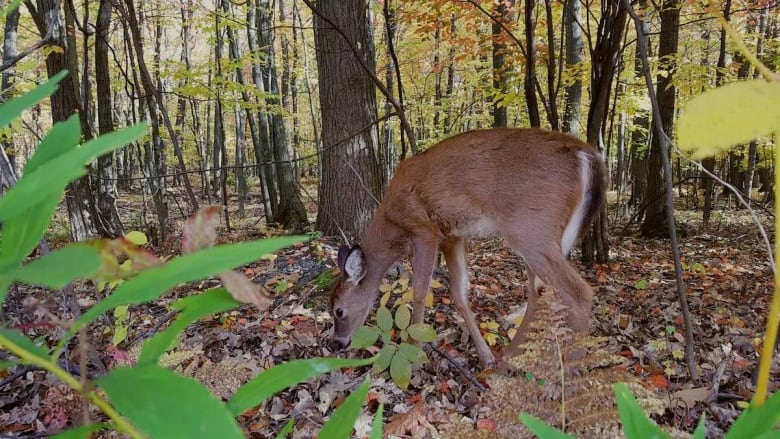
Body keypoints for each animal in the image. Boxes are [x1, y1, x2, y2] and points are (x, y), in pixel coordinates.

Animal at [326, 127, 608, 368]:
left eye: (338, 310)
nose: (338, 343)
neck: (392, 223)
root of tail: (588, 155)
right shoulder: (452, 237)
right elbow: (459, 293)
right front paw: (485, 356)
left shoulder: (424, 230)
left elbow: (419, 292)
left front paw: (414, 352)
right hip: (537, 235)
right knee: (538, 292)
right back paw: (509, 358)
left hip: (531, 228)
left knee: (578, 293)